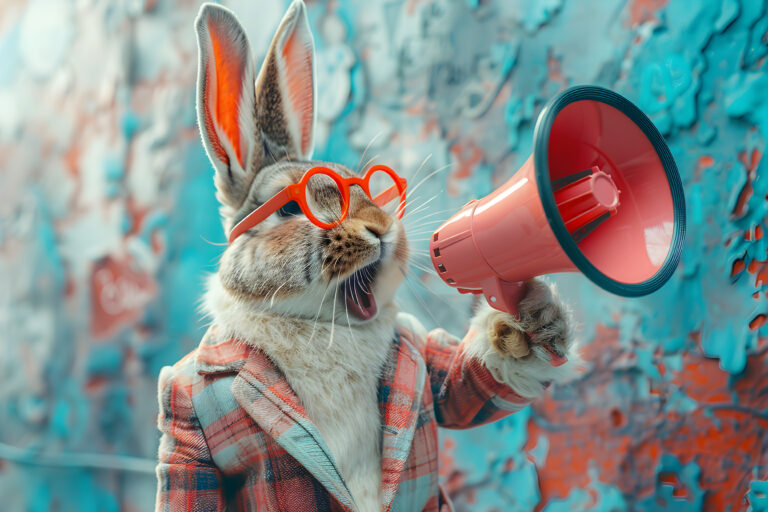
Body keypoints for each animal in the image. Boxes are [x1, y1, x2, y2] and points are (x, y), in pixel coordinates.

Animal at [154, 2, 576, 510]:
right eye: (291, 208)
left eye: (369, 185)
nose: (382, 228)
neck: (325, 326)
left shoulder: (425, 359)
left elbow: (464, 387)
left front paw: (535, 321)